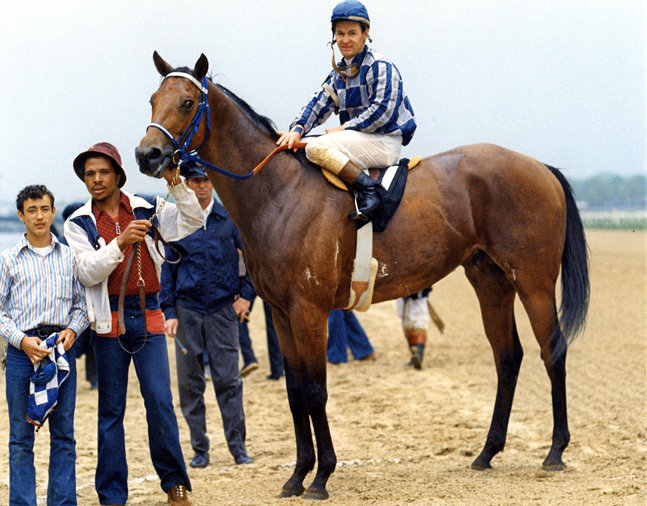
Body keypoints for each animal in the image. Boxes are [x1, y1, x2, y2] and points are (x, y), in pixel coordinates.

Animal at [138, 54, 592, 498]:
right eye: (153, 100)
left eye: (187, 103)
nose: (148, 154)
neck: (278, 193)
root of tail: (540, 167)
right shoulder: (283, 314)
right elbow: (295, 392)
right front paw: (297, 475)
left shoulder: (309, 312)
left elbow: (316, 391)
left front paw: (321, 477)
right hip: (490, 281)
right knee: (508, 356)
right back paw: (487, 452)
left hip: (533, 282)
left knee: (552, 352)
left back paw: (555, 451)